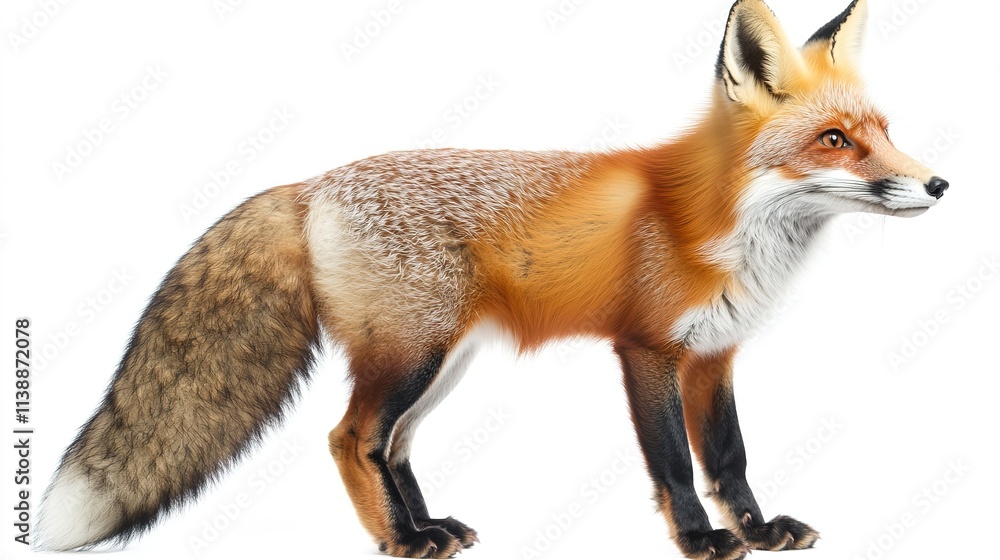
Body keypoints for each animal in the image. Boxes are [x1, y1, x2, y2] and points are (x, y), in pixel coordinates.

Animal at [35, 0, 948, 558]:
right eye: (834, 140)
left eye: (884, 131)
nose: (940, 185)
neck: (719, 225)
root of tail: (312, 183)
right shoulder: (646, 349)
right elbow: (676, 468)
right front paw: (701, 542)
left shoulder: (715, 354)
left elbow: (730, 458)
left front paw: (758, 531)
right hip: (412, 357)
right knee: (348, 439)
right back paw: (400, 543)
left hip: (445, 361)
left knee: (392, 446)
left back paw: (427, 526)